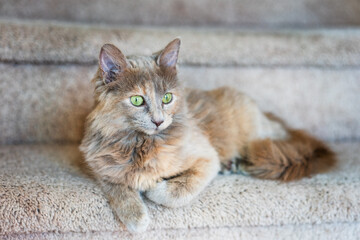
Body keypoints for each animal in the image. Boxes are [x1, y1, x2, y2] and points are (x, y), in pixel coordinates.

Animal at [80, 38, 336, 233]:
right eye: (136, 100)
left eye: (167, 98)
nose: (158, 121)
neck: (140, 143)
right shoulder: (100, 164)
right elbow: (119, 189)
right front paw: (137, 218)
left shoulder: (206, 157)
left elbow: (176, 192)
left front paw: (153, 188)